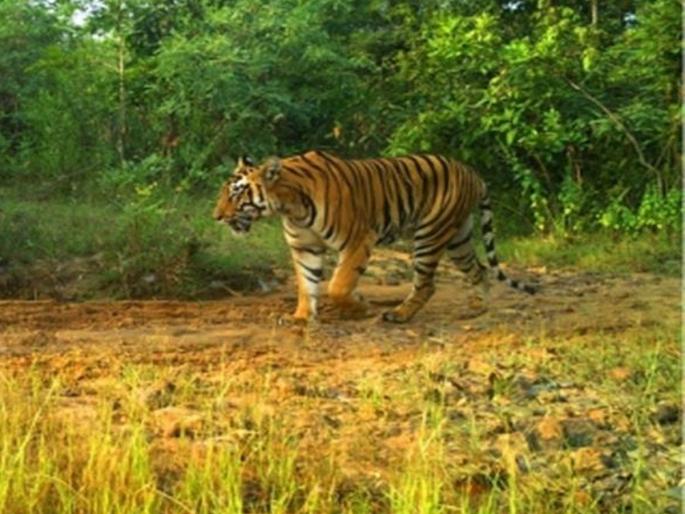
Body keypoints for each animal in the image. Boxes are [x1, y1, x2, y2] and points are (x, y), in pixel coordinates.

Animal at [213, 151, 536, 323]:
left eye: (237, 193)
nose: (216, 217)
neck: (290, 206)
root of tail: (472, 172)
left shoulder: (358, 239)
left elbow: (339, 285)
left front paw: (362, 307)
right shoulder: (304, 247)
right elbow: (306, 284)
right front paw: (302, 317)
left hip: (430, 235)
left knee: (426, 284)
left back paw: (399, 314)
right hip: (458, 238)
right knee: (479, 270)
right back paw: (479, 308)